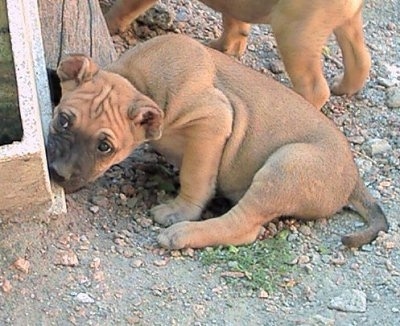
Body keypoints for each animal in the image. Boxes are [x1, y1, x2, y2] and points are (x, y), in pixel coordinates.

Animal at [46, 35, 388, 250]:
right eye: (63, 120)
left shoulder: (214, 121)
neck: (138, 81)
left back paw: (182, 233)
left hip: (286, 165)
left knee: (244, 227)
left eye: (105, 147)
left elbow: (195, 177)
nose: (58, 173)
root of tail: (353, 180)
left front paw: (180, 210)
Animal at [104, 0, 372, 109]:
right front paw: (228, 47)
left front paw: (108, 23)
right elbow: (235, 25)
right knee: (361, 60)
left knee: (314, 88)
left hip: (296, 32)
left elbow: (123, 8)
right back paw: (344, 87)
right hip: (348, 23)